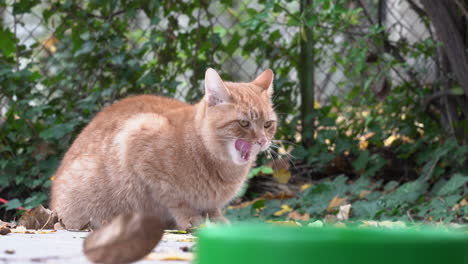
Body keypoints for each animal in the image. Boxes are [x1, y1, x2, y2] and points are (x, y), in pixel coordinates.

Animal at [50, 68, 278, 231]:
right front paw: (191, 219)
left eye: (267, 124)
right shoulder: (138, 140)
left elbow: (211, 207)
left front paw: (215, 219)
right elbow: (175, 200)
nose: (262, 141)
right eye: (244, 123)